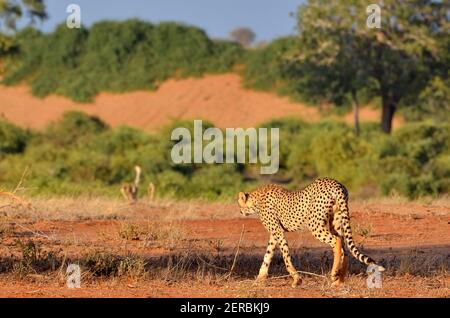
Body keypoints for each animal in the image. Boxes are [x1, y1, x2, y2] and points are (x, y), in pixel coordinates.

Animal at [237, 178, 384, 286]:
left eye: (239, 204)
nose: (240, 211)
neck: (257, 199)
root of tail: (336, 183)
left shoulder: (278, 232)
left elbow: (285, 256)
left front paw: (297, 279)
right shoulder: (274, 234)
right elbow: (268, 254)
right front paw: (260, 277)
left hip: (315, 225)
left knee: (336, 241)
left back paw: (334, 274)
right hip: (336, 222)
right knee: (344, 247)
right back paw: (340, 279)